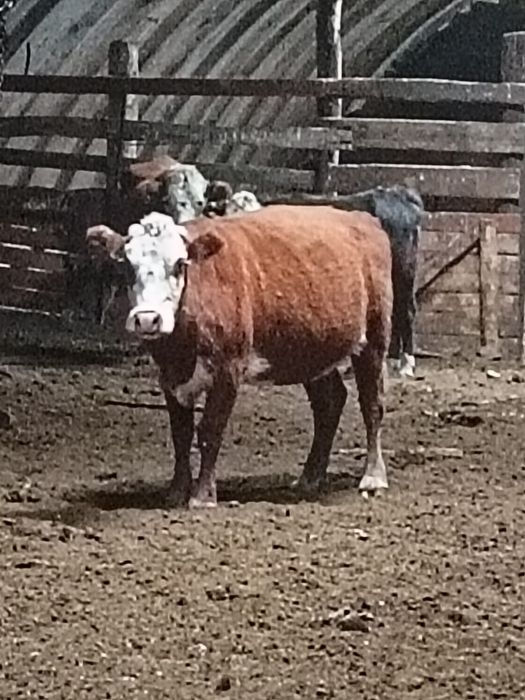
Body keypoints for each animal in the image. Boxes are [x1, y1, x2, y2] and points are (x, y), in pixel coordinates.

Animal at [86, 207, 393, 509]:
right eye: (127, 266)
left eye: (179, 263)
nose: (148, 319)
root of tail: (361, 218)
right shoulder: (169, 376)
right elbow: (181, 434)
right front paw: (176, 492)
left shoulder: (228, 369)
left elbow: (210, 430)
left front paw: (203, 496)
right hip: (311, 352)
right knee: (329, 402)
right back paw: (310, 476)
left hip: (375, 337)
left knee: (372, 405)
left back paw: (373, 477)